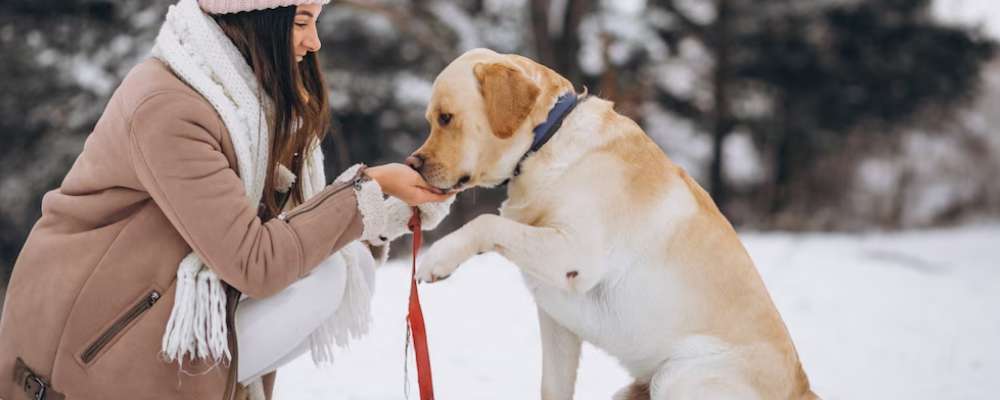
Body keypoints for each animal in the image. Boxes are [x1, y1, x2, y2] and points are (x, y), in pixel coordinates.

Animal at [408, 49, 820, 400]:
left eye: (446, 118)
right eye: (430, 120)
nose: (413, 164)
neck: (545, 143)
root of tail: (802, 389)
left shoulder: (575, 256)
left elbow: (487, 223)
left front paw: (438, 258)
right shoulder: (557, 321)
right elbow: (552, 387)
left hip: (678, 376)